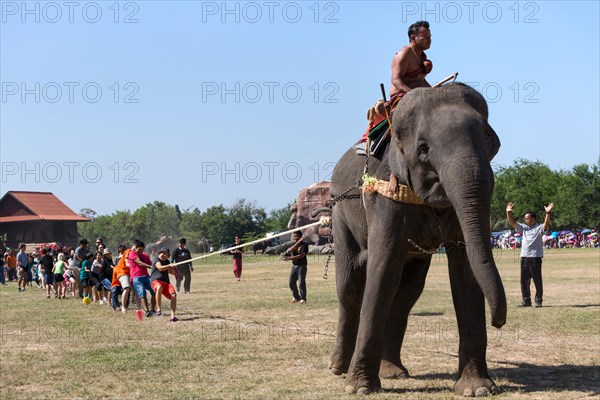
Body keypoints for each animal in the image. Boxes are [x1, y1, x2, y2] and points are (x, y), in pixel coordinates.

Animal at [328, 83, 506, 396]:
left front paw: (478, 389)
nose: (499, 322)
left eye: (488, 139)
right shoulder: (386, 191)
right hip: (340, 214)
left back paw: (394, 372)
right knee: (349, 288)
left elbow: (466, 269)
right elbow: (382, 267)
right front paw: (359, 389)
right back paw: (338, 368)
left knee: (406, 294)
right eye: (423, 149)